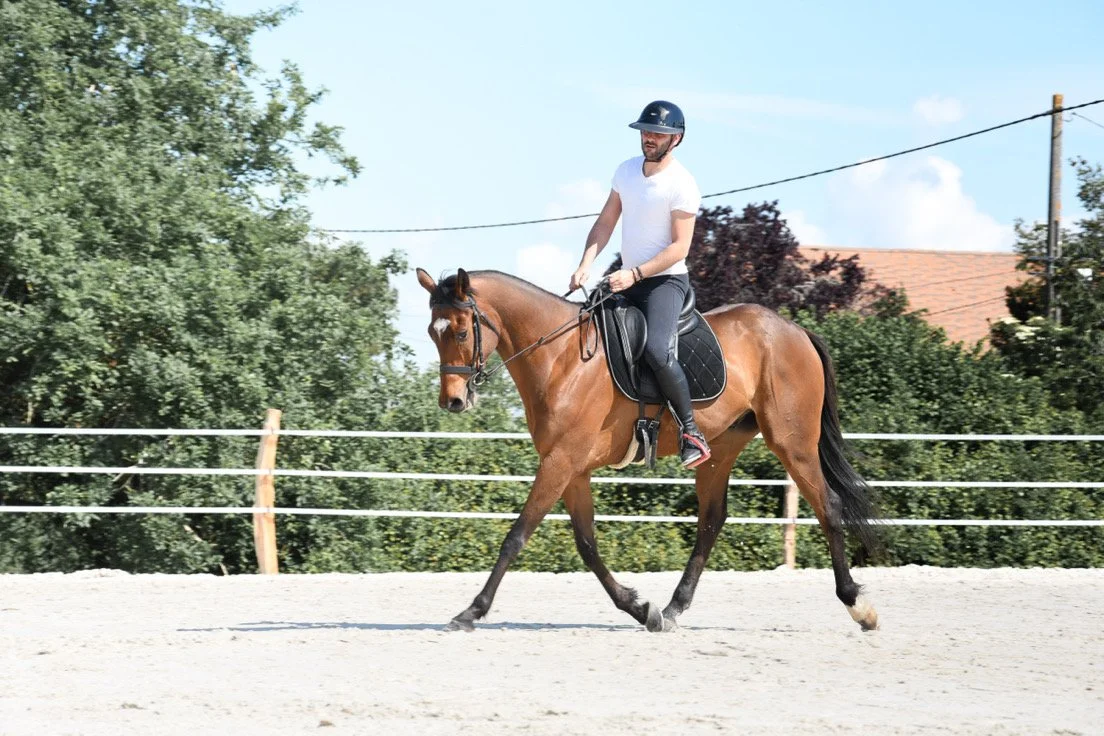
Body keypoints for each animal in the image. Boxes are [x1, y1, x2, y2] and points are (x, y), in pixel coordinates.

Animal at [416, 267, 882, 633]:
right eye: (432, 333)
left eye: (461, 331)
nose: (452, 401)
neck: (561, 356)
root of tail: (794, 330)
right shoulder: (572, 468)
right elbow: (587, 544)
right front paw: (641, 609)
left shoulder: (561, 462)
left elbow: (516, 536)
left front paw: (471, 612)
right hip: (721, 448)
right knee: (712, 520)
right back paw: (674, 608)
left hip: (793, 443)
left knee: (828, 506)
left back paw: (858, 606)